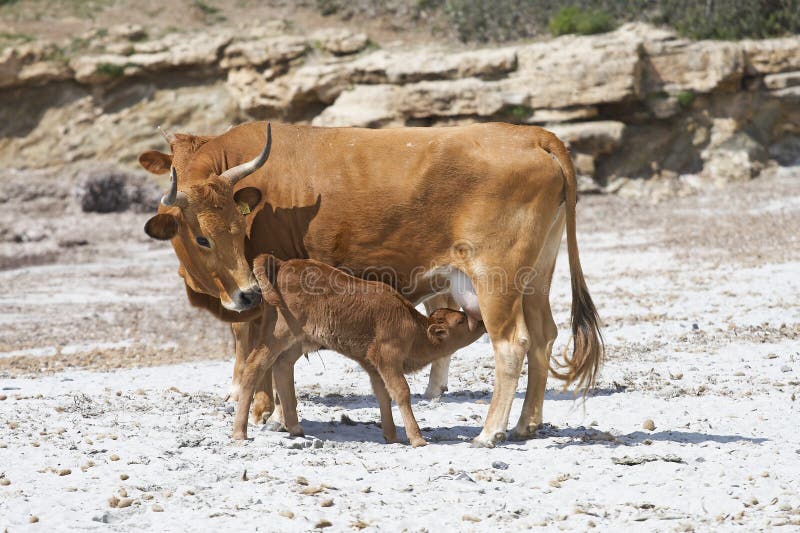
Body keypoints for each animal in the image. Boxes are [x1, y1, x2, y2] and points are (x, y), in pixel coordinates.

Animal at [231, 254, 482, 444]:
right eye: (460, 321)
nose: (479, 321)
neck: (413, 325)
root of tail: (282, 264)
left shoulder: (374, 367)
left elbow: (383, 395)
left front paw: (392, 436)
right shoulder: (388, 360)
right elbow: (401, 391)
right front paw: (417, 439)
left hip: (297, 342)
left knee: (282, 366)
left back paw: (295, 428)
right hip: (279, 336)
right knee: (255, 366)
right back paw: (240, 433)